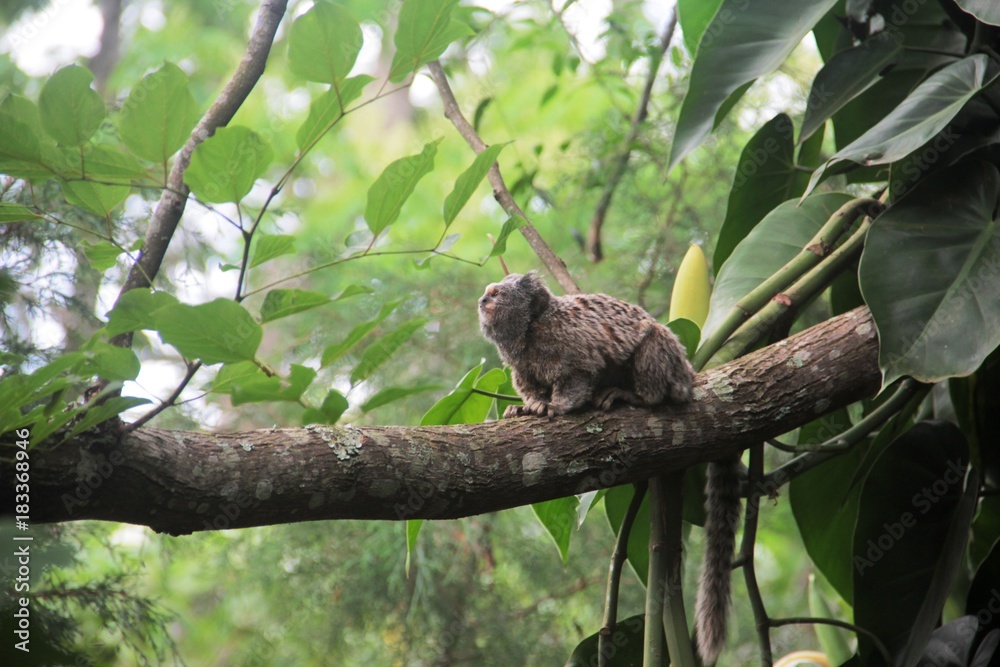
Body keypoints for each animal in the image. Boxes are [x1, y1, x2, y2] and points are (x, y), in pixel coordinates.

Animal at [478, 271, 740, 664]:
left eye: (496, 294)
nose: (482, 301)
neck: (532, 332)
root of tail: (689, 375)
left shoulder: (572, 347)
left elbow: (578, 376)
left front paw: (558, 407)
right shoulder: (522, 368)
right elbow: (530, 389)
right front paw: (527, 408)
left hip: (667, 360)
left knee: (651, 348)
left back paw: (636, 396)